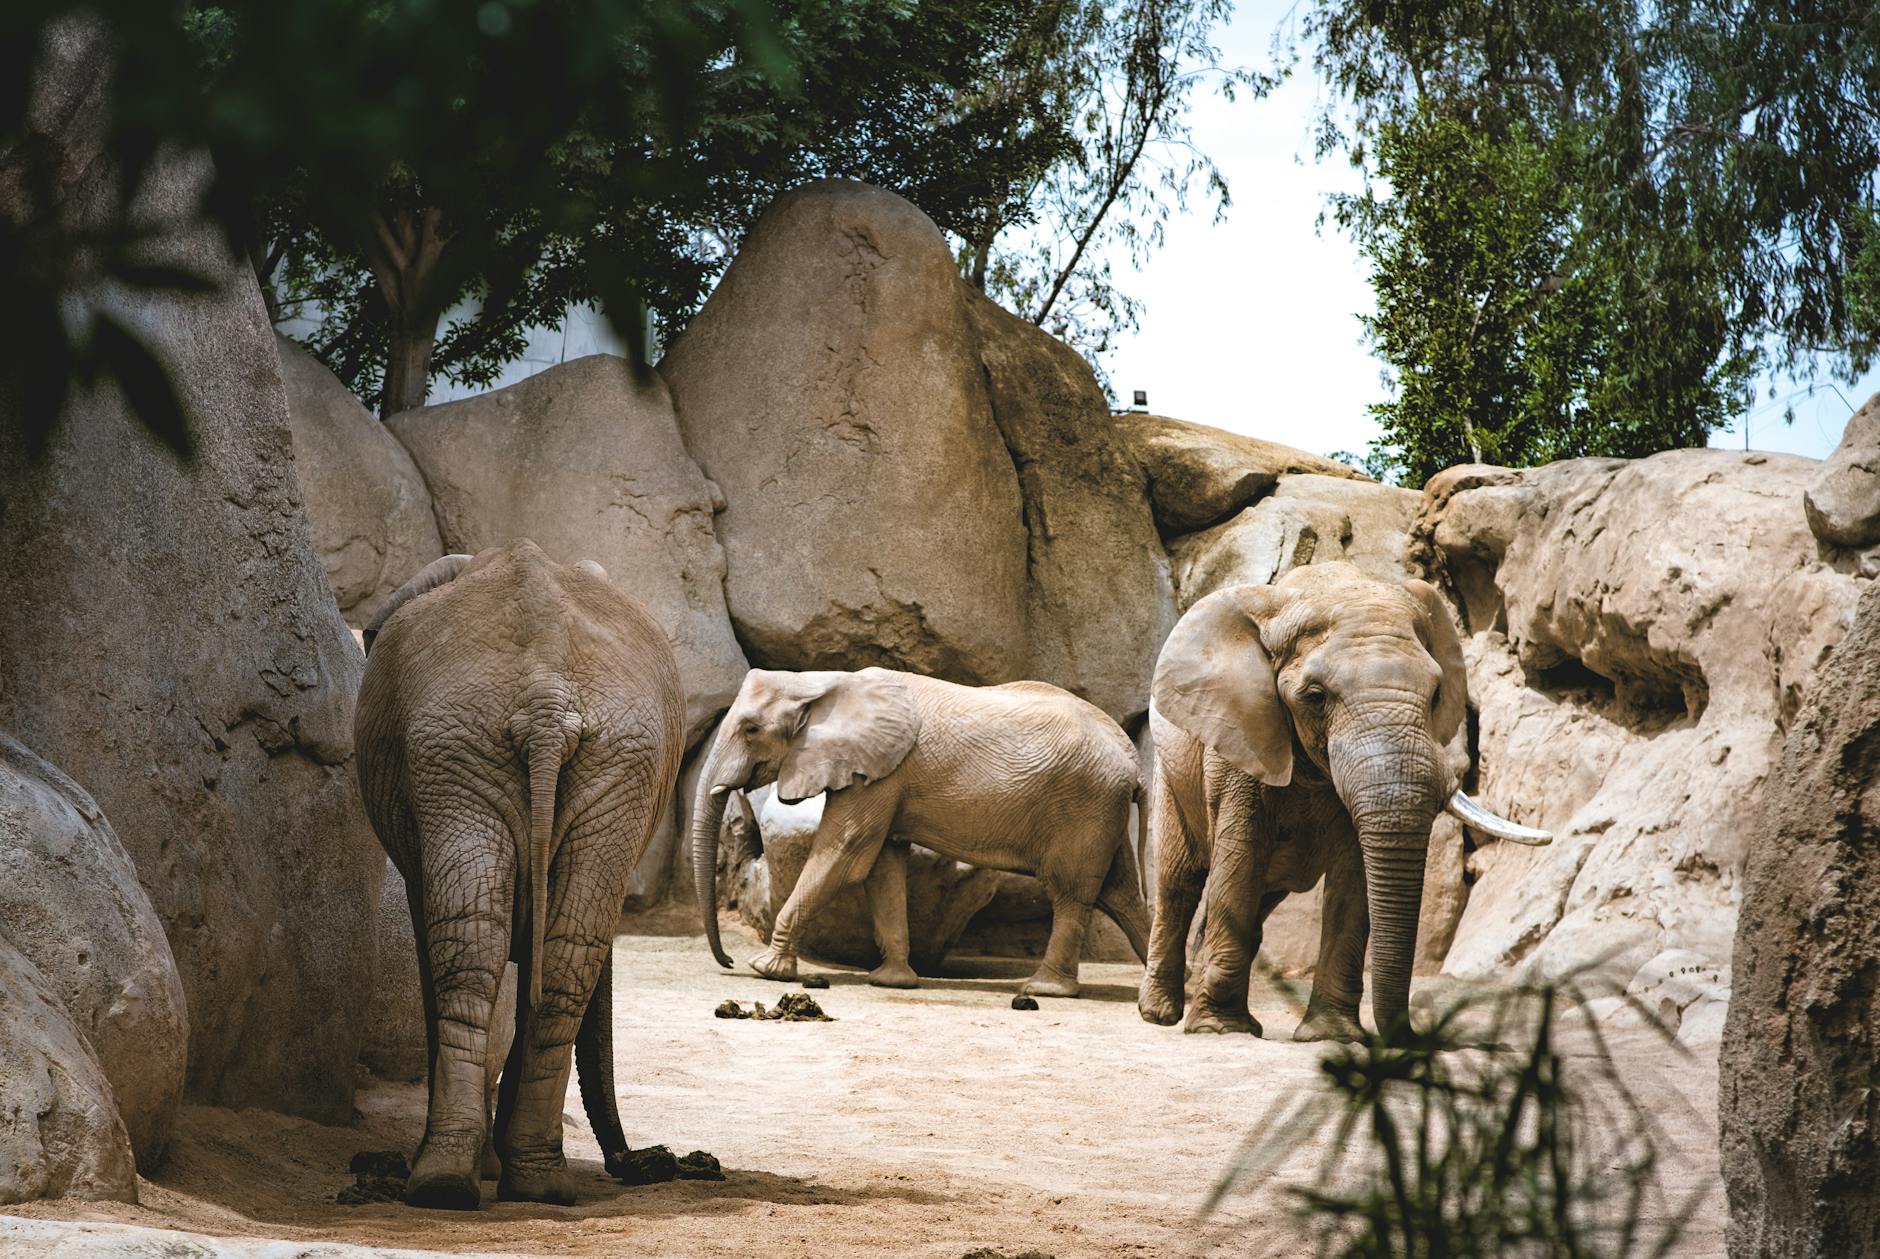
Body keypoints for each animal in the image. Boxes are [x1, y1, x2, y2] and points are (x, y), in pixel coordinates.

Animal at [355, 540, 686, 1209]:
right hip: (544, 756)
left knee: (475, 945)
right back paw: (523, 1181)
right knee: (559, 957)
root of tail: (545, 699)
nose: (650, 1161)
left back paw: (461, 1180)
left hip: (474, 751)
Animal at [689, 668, 1151, 997]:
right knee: (1120, 894)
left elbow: (844, 853)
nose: (727, 962)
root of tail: (1134, 763)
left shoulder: (879, 773)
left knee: (1071, 891)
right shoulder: (882, 774)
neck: (821, 682)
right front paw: (890, 981)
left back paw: (1045, 989)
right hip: (1100, 810)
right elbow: (883, 865)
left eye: (751, 729)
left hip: (1084, 804)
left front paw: (765, 969)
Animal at [1137, 562, 1549, 1041]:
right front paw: (1221, 1030)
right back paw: (1161, 1013)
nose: (1417, 1035)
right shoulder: (1240, 737)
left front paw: (1331, 1035)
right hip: (1172, 771)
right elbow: (1241, 857)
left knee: (1260, 895)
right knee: (1180, 880)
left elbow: (1354, 876)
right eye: (1315, 697)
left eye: (1435, 695)